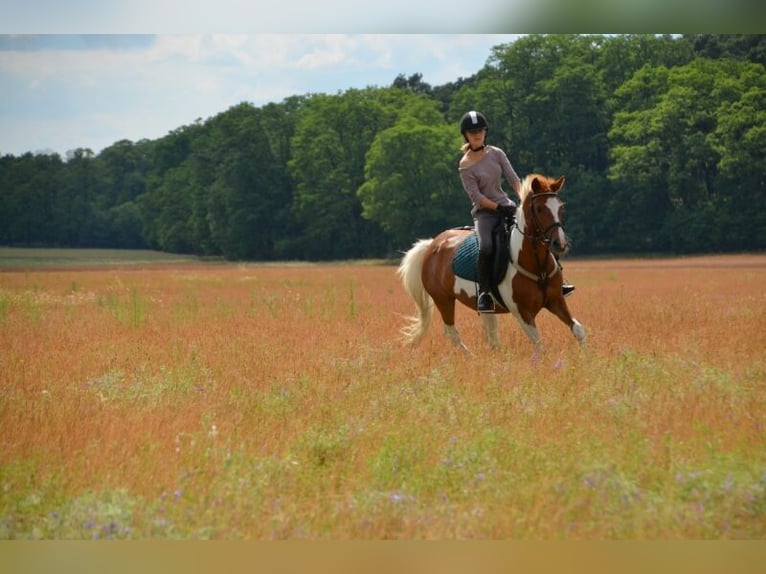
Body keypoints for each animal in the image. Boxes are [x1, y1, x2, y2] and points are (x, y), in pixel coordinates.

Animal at [396, 173, 588, 354]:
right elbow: (539, 344)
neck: (536, 266)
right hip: (443, 300)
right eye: (540, 208)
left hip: (483, 307)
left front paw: (586, 357)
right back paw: (471, 357)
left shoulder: (556, 301)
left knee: (492, 335)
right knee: (452, 333)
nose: (559, 244)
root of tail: (432, 244)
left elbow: (578, 329)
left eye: (561, 208)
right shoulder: (522, 312)